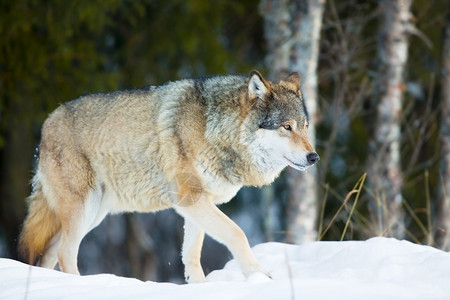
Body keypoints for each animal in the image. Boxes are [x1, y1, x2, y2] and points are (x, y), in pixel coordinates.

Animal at [18, 71, 320, 284]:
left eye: (305, 127)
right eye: (286, 127)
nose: (314, 157)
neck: (215, 129)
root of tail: (46, 123)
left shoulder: (196, 204)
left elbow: (192, 255)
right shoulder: (190, 197)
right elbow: (237, 233)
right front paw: (260, 276)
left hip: (91, 216)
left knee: (49, 253)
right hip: (83, 211)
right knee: (64, 252)